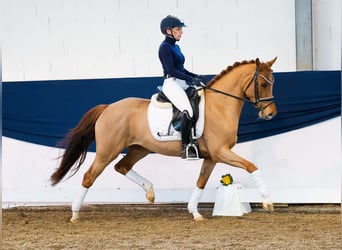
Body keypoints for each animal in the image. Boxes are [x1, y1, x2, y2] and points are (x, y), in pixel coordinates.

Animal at [51, 58, 278, 221]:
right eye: (261, 84)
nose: (271, 114)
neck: (219, 106)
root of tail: (108, 108)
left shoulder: (212, 156)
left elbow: (201, 182)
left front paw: (195, 212)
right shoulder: (221, 152)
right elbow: (251, 166)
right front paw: (267, 201)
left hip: (139, 148)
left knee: (122, 166)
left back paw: (150, 193)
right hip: (107, 152)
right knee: (89, 176)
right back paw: (75, 214)